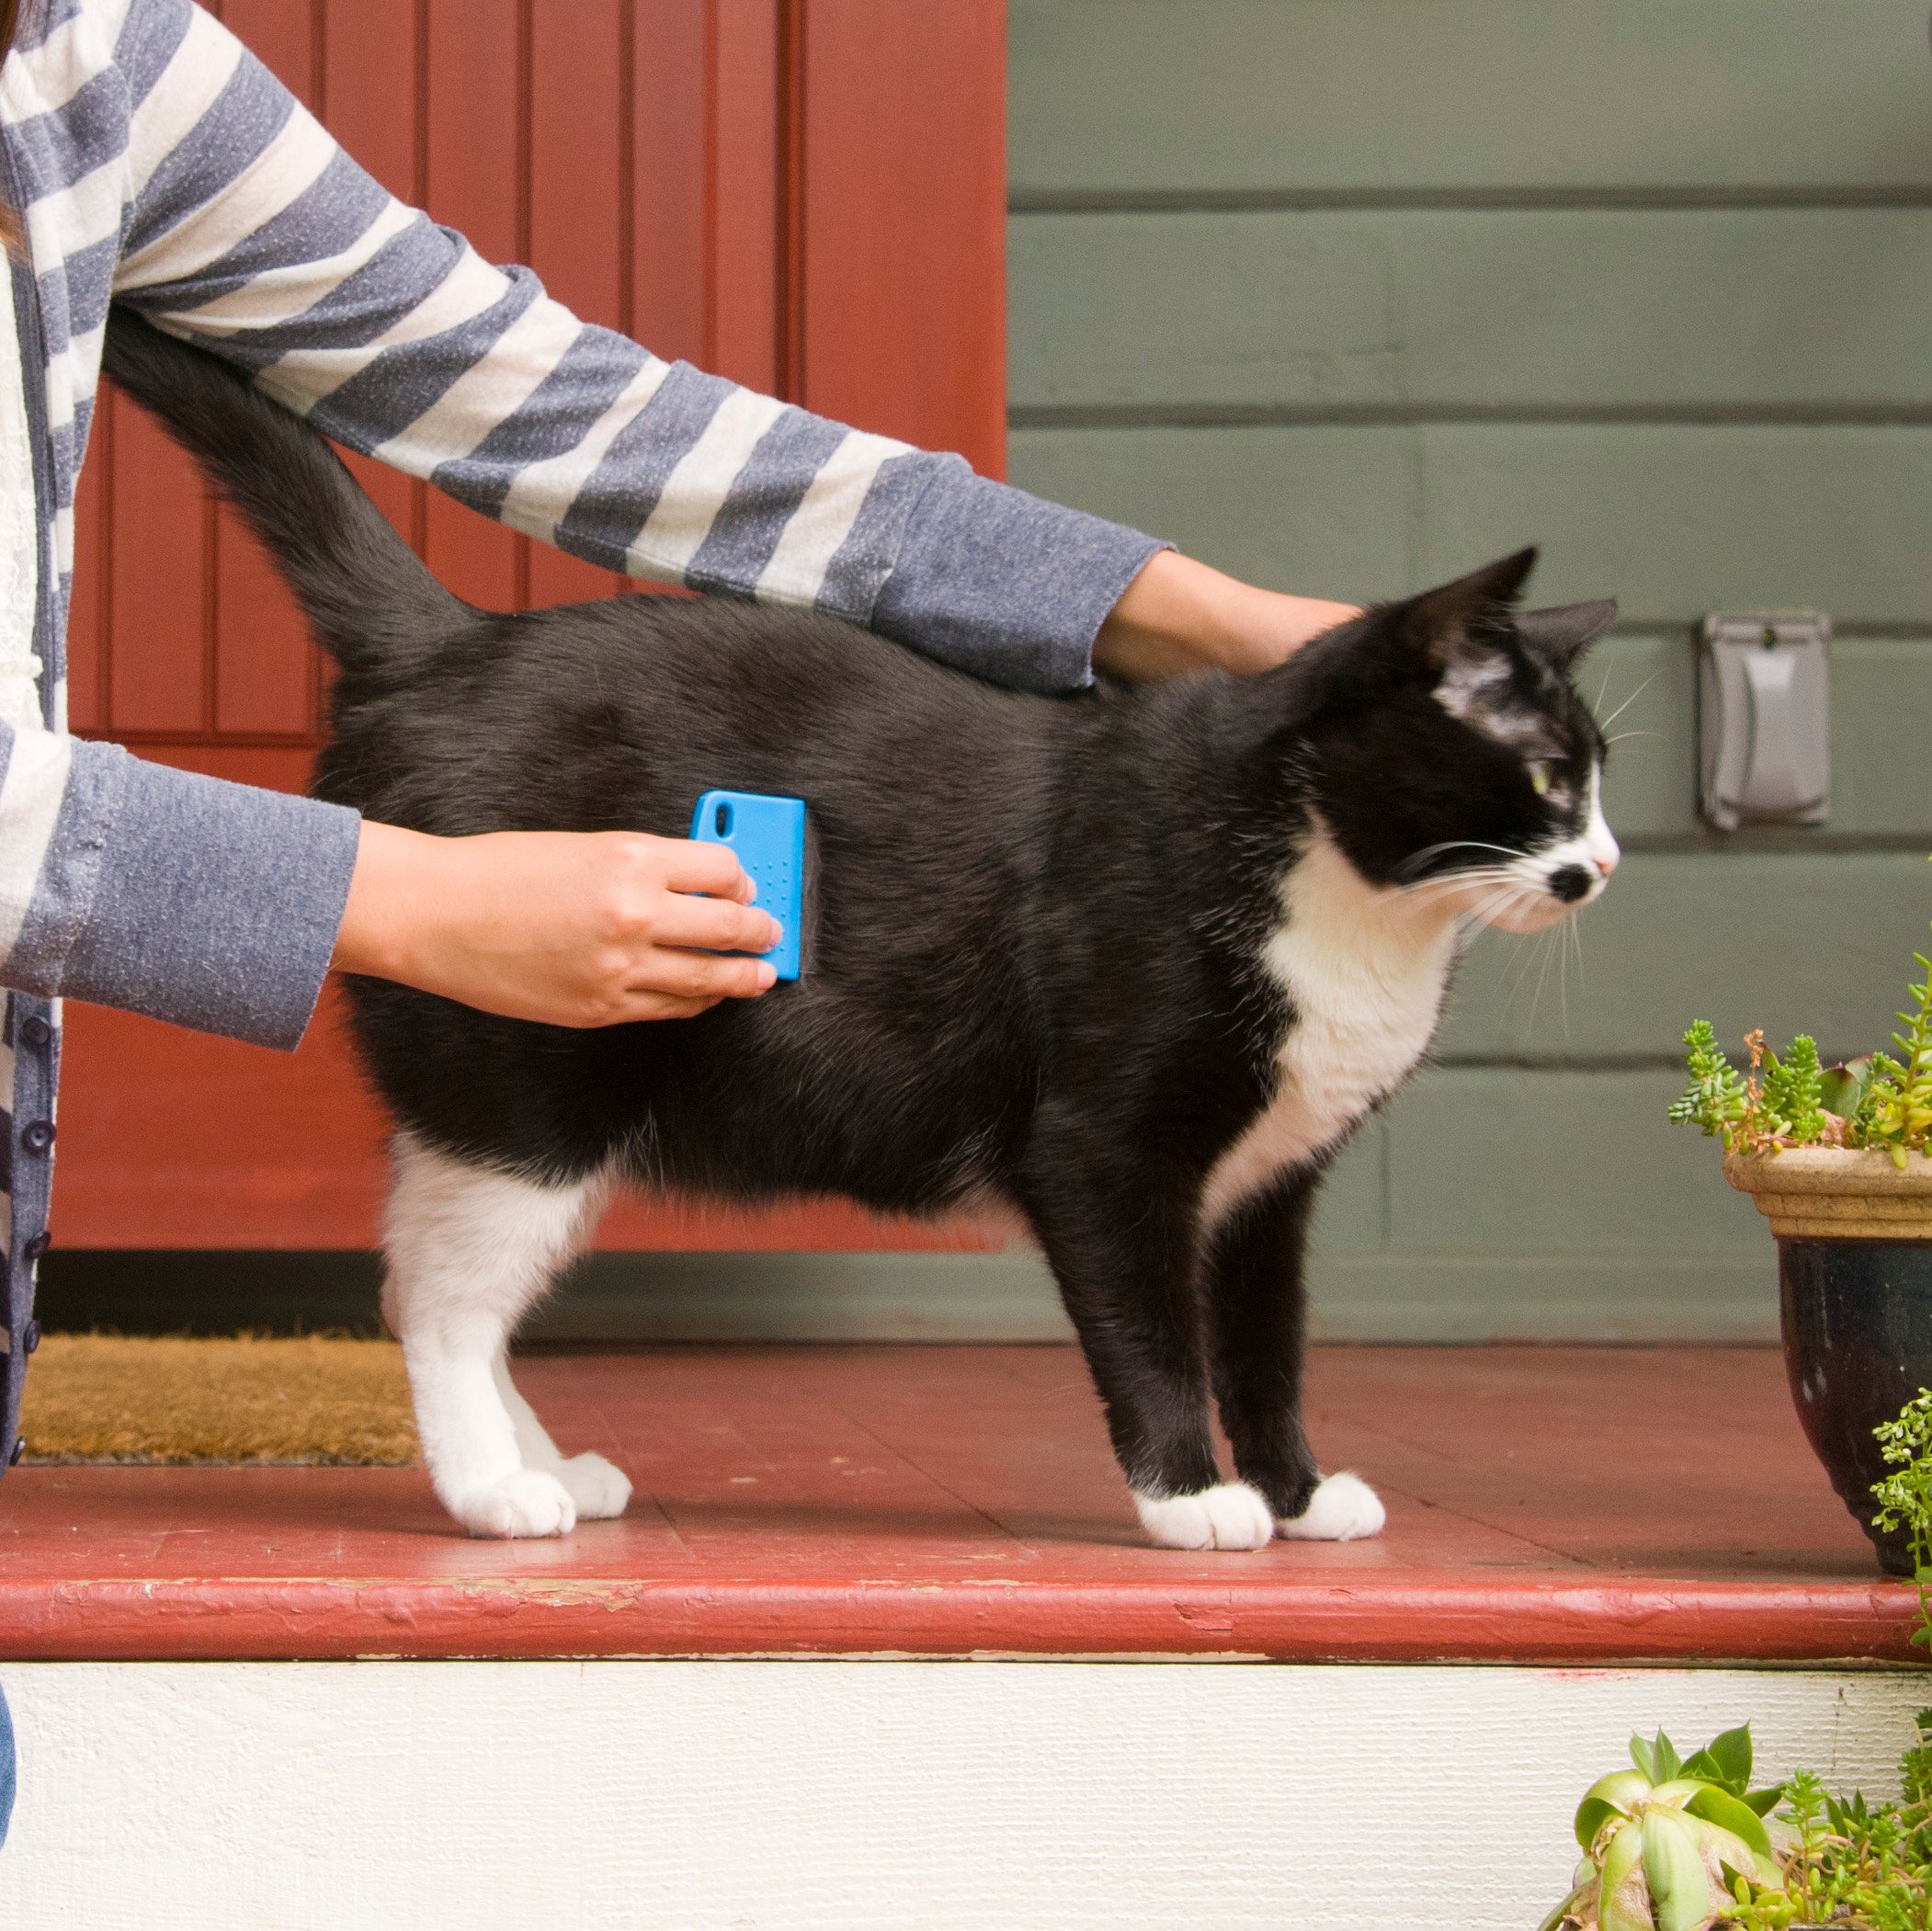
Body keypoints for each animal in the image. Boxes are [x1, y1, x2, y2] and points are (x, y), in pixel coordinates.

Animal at [101, 312, 1615, 1552]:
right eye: (1547, 778)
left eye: (1600, 778)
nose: (1599, 866)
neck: (1352, 908)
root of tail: (449, 643)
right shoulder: (1102, 1149)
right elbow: (1151, 1330)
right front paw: (1193, 1498)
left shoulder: (1270, 1186)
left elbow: (1267, 1346)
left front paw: (1298, 1492)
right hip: (533, 1073)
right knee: (440, 1296)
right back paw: (491, 1491)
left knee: (437, 1275)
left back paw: (544, 1466)